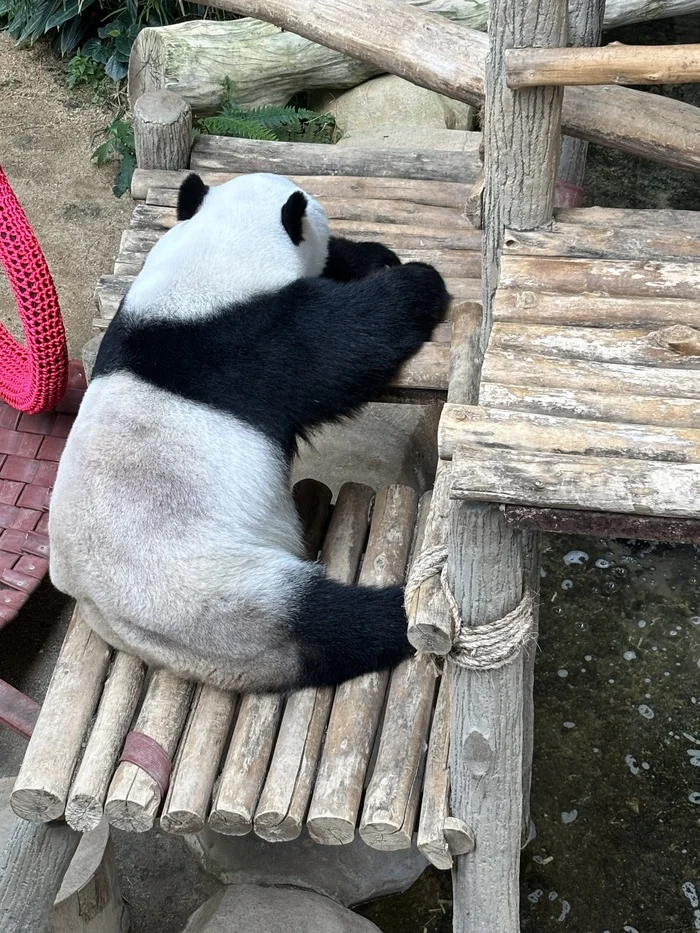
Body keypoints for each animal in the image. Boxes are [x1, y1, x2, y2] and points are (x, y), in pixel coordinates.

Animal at [48, 171, 450, 694]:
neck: (213, 256)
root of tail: (118, 624)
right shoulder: (261, 342)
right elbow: (353, 340)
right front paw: (420, 281)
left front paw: (373, 256)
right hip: (225, 595)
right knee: (323, 622)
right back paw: (394, 615)